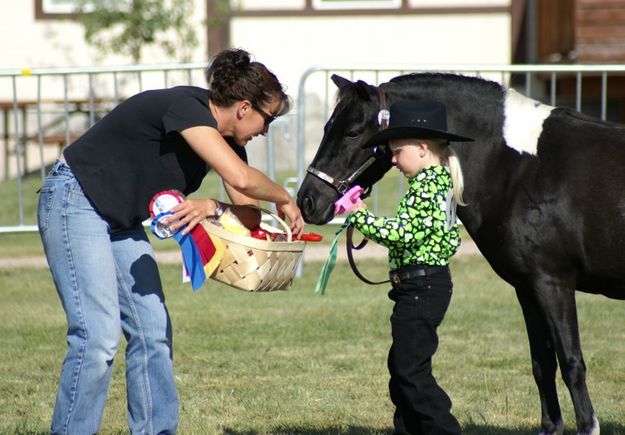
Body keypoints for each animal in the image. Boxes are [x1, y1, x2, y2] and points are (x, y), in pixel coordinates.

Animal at [296, 73, 624, 434]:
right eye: (327, 127)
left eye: (353, 132)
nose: (307, 200)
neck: (522, 168)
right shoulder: (528, 288)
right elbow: (542, 365)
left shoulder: (553, 284)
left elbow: (571, 362)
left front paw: (589, 426)